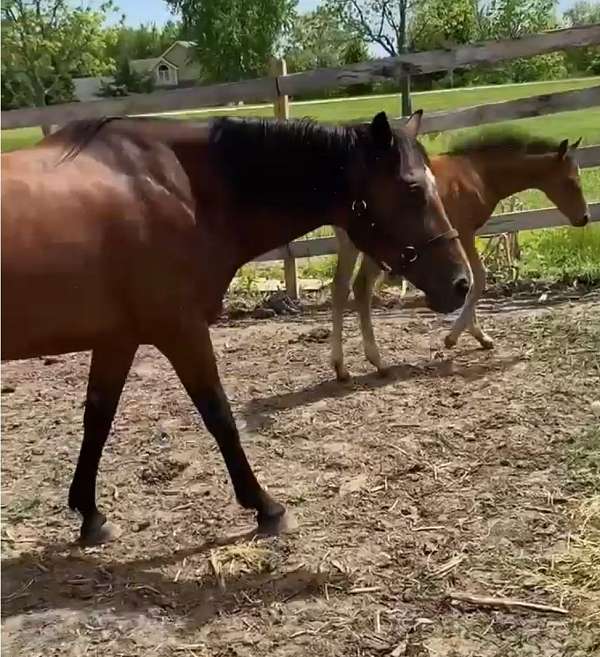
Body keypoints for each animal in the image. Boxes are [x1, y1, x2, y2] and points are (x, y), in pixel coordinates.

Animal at [1, 111, 474, 544]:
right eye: (412, 189)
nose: (461, 283)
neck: (178, 189)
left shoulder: (118, 338)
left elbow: (97, 418)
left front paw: (90, 514)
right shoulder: (181, 330)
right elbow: (219, 416)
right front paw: (265, 506)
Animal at [332, 132, 592, 380]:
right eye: (571, 180)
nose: (585, 217)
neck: (478, 174)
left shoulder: (461, 236)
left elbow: (468, 280)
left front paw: (478, 336)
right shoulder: (464, 232)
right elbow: (477, 278)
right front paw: (455, 337)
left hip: (357, 246)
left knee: (342, 288)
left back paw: (342, 367)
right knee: (361, 287)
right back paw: (376, 362)